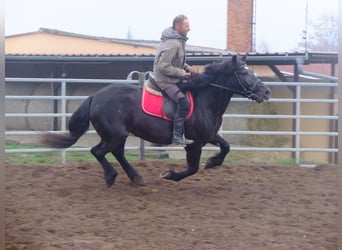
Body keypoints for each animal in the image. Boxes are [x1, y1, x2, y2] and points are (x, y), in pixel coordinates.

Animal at [41, 55, 272, 188]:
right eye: (243, 72)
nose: (266, 92)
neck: (205, 99)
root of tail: (95, 97)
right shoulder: (194, 143)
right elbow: (192, 168)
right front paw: (169, 175)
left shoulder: (210, 136)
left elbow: (226, 147)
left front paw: (213, 162)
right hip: (115, 134)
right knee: (98, 151)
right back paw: (111, 176)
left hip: (118, 135)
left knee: (116, 152)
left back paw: (135, 178)